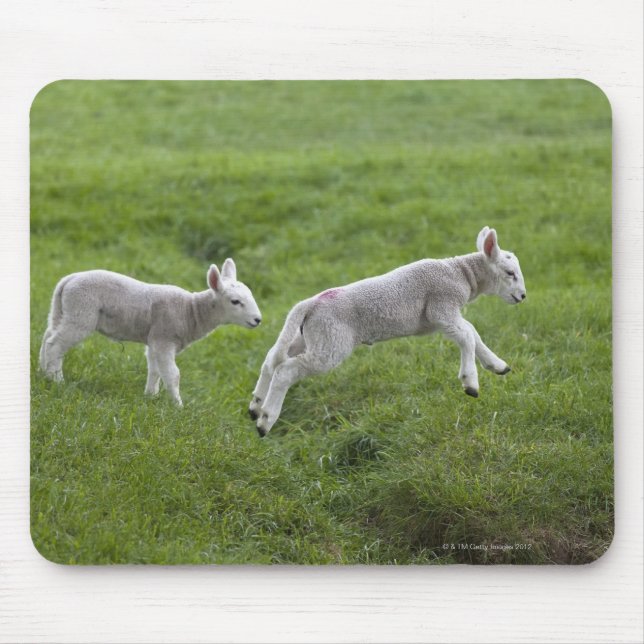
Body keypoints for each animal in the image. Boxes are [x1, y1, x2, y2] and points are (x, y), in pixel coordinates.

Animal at [39, 258, 262, 406]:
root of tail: (69, 280)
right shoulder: (164, 339)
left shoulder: (155, 340)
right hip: (81, 312)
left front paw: (150, 396)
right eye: (235, 301)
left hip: (63, 309)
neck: (191, 311)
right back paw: (57, 380)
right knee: (55, 345)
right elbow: (173, 374)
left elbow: (155, 370)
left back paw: (42, 372)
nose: (257, 320)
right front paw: (178, 407)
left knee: (47, 336)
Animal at [249, 227, 526, 436]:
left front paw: (497, 365)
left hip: (309, 336)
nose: (523, 296)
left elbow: (472, 332)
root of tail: (309, 304)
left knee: (272, 359)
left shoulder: (445, 316)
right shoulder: (441, 307)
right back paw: (266, 421)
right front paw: (470, 382)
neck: (461, 274)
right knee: (286, 370)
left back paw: (255, 407)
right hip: (331, 342)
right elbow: (468, 335)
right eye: (510, 273)